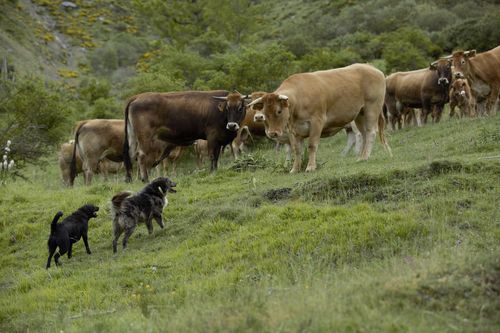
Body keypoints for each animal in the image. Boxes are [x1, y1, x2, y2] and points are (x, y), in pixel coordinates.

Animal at [248, 63, 392, 172]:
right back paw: (361, 157)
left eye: (278, 111)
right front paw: (295, 169)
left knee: (371, 132)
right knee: (364, 134)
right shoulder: (293, 130)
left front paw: (311, 167)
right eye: (264, 112)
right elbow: (296, 150)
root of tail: (373, 69)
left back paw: (365, 156)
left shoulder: (316, 122)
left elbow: (312, 146)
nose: (273, 133)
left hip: (372, 108)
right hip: (359, 114)